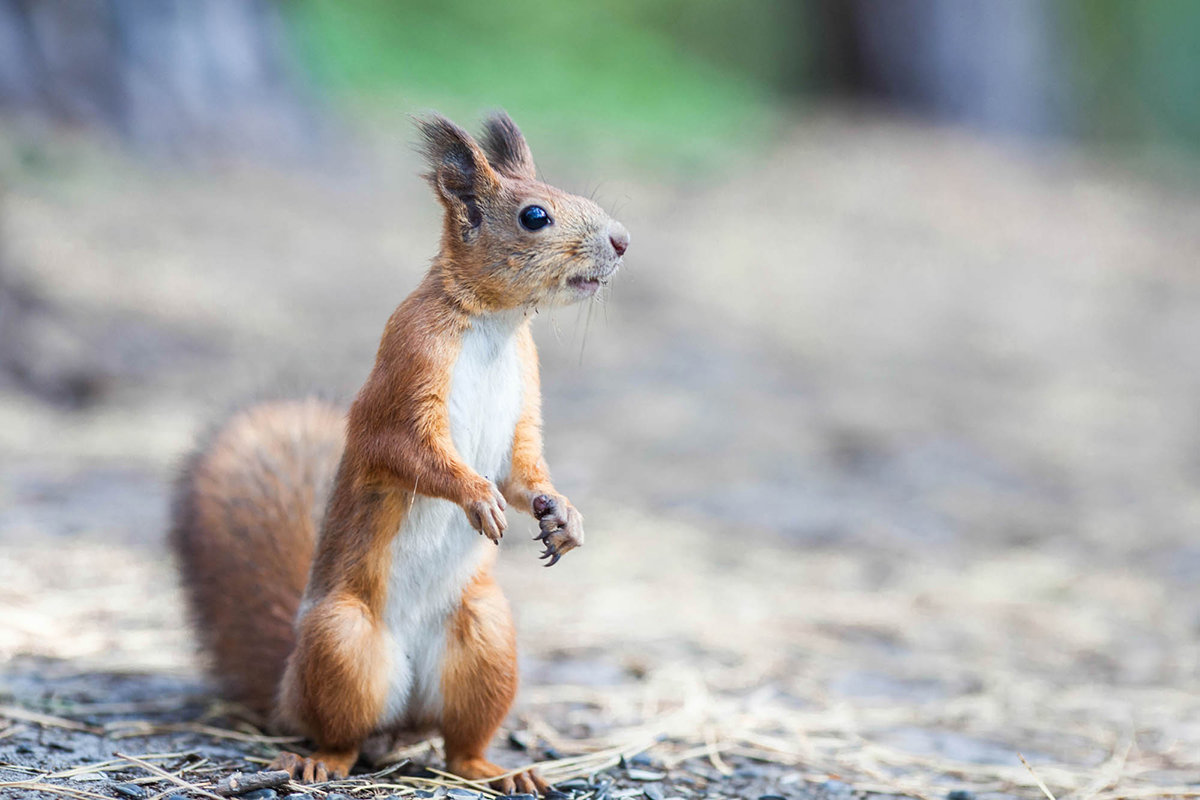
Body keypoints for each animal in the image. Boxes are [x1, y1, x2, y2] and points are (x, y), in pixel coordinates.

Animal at [172, 110, 633, 796]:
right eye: (534, 215)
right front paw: (477, 498)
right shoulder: (406, 373)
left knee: (459, 743)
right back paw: (320, 760)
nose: (622, 240)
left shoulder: (525, 406)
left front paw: (563, 515)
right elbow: (409, 451)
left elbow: (525, 470)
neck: (496, 325)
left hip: (487, 638)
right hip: (343, 644)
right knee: (341, 733)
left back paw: (500, 770)